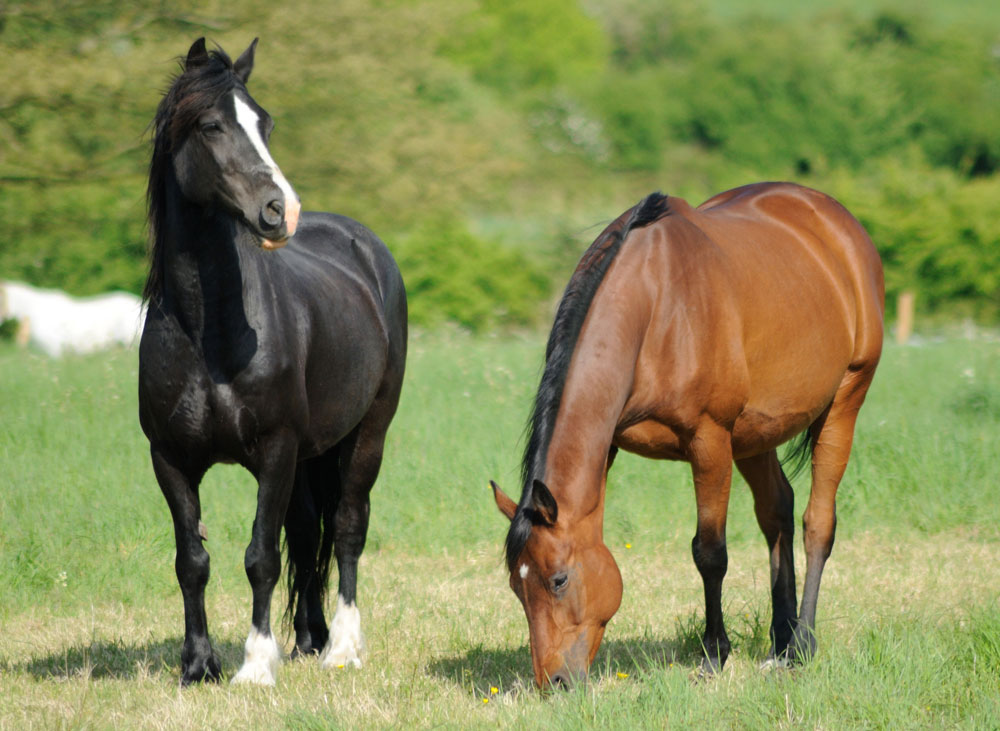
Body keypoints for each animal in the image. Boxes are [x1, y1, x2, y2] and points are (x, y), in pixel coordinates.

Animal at [139, 37, 408, 684]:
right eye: (211, 125)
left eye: (265, 123)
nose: (279, 211)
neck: (206, 332)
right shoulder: (170, 459)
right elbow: (192, 560)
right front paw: (197, 665)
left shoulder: (276, 450)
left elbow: (260, 555)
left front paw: (256, 664)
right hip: (312, 452)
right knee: (308, 533)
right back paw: (310, 638)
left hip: (367, 434)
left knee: (347, 529)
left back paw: (342, 648)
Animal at [492, 184, 884, 692]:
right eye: (516, 586)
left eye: (558, 580)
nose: (554, 682)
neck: (656, 306)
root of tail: (837, 220)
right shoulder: (611, 442)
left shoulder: (709, 440)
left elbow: (709, 552)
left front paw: (714, 655)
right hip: (755, 432)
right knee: (777, 511)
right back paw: (780, 644)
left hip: (845, 399)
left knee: (818, 524)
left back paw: (802, 646)